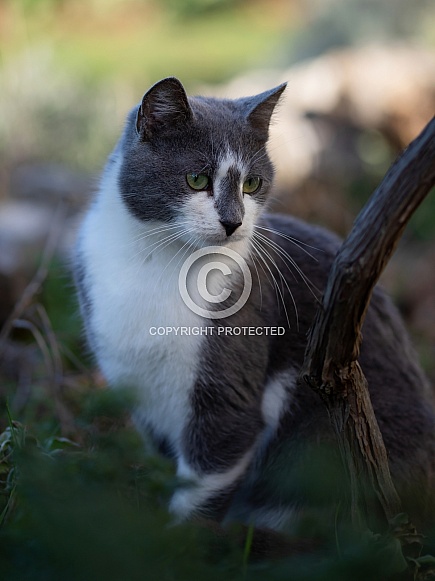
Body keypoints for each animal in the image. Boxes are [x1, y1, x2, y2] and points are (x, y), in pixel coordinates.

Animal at [75, 76, 435, 532]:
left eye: (252, 184)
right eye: (197, 179)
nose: (233, 222)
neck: (157, 263)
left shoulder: (229, 392)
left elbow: (205, 480)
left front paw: (178, 541)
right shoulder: (134, 389)